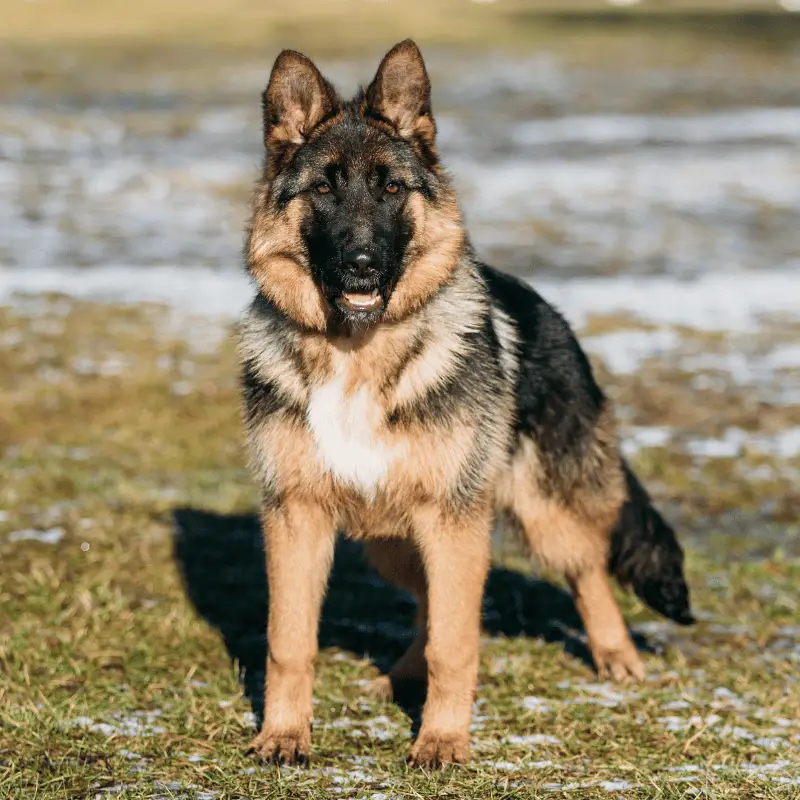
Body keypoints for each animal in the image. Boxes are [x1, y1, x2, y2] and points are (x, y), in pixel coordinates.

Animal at [238, 39, 692, 768]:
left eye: (392, 188)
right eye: (324, 188)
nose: (363, 265)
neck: (358, 354)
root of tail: (551, 313)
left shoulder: (452, 519)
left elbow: (457, 645)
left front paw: (443, 741)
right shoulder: (297, 517)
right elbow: (290, 642)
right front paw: (284, 733)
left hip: (538, 511)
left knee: (586, 569)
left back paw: (615, 654)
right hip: (394, 540)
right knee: (429, 603)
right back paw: (400, 676)